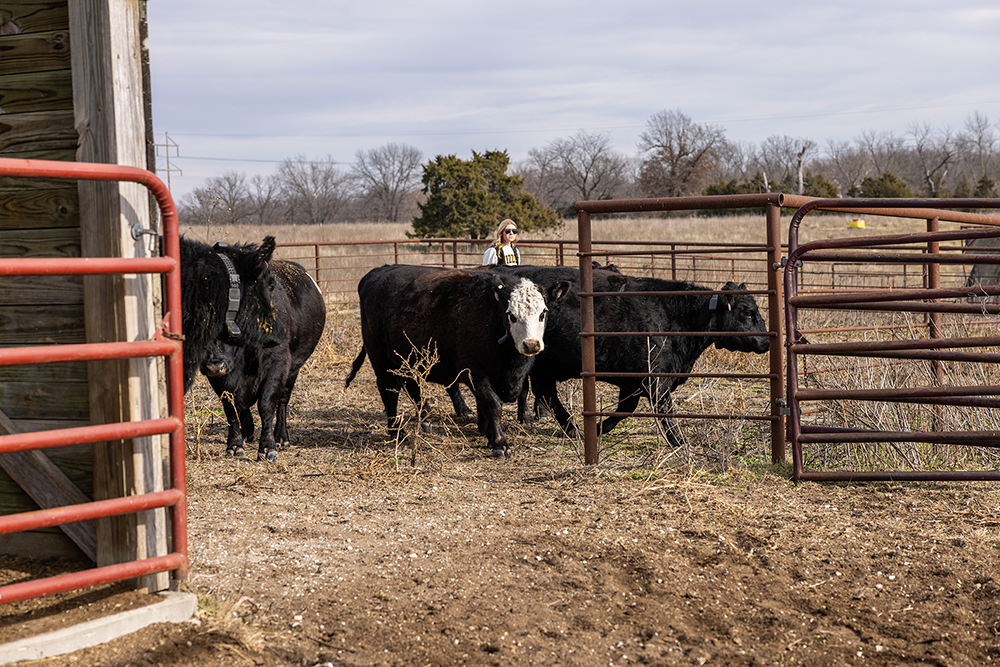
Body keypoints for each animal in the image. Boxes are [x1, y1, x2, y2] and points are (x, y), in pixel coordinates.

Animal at [200, 258, 326, 462]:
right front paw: (235, 444)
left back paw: (282, 437)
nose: (214, 365)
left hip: (293, 370)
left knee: (282, 402)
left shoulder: (278, 365)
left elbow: (266, 405)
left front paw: (267, 447)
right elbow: (232, 408)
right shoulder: (219, 379)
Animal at [344, 264, 570, 457]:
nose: (531, 345)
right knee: (389, 390)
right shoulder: (474, 370)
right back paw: (396, 432)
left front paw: (490, 437)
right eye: (511, 315)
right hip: (380, 357)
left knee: (412, 385)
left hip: (407, 359)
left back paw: (425, 419)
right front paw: (499, 443)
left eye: (543, 313)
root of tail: (377, 272)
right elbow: (492, 405)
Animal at [452, 265, 770, 446]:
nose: (767, 341)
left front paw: (599, 427)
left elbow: (623, 412)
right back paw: (570, 429)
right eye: (748, 312)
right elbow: (665, 414)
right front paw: (679, 442)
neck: (675, 314)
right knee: (545, 395)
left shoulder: (632, 384)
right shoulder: (655, 381)